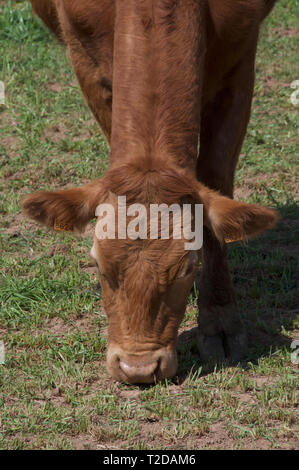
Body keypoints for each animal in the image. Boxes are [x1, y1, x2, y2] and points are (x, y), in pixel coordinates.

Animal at [23, 0, 278, 384]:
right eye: (98, 266)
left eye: (189, 268)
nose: (138, 368)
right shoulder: (88, 61)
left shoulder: (240, 56)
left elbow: (216, 179)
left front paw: (220, 320)